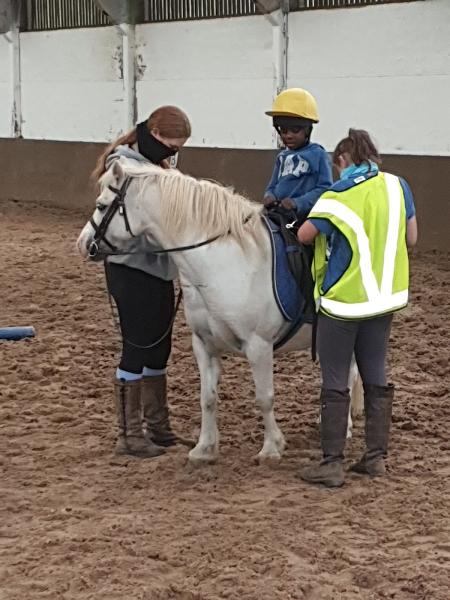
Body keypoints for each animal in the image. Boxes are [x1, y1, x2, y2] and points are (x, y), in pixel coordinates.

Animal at [75, 157, 360, 462]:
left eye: (102, 205)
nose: (83, 243)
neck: (224, 264)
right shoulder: (204, 344)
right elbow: (208, 398)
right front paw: (204, 449)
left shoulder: (258, 346)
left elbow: (264, 397)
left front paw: (271, 448)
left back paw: (344, 427)